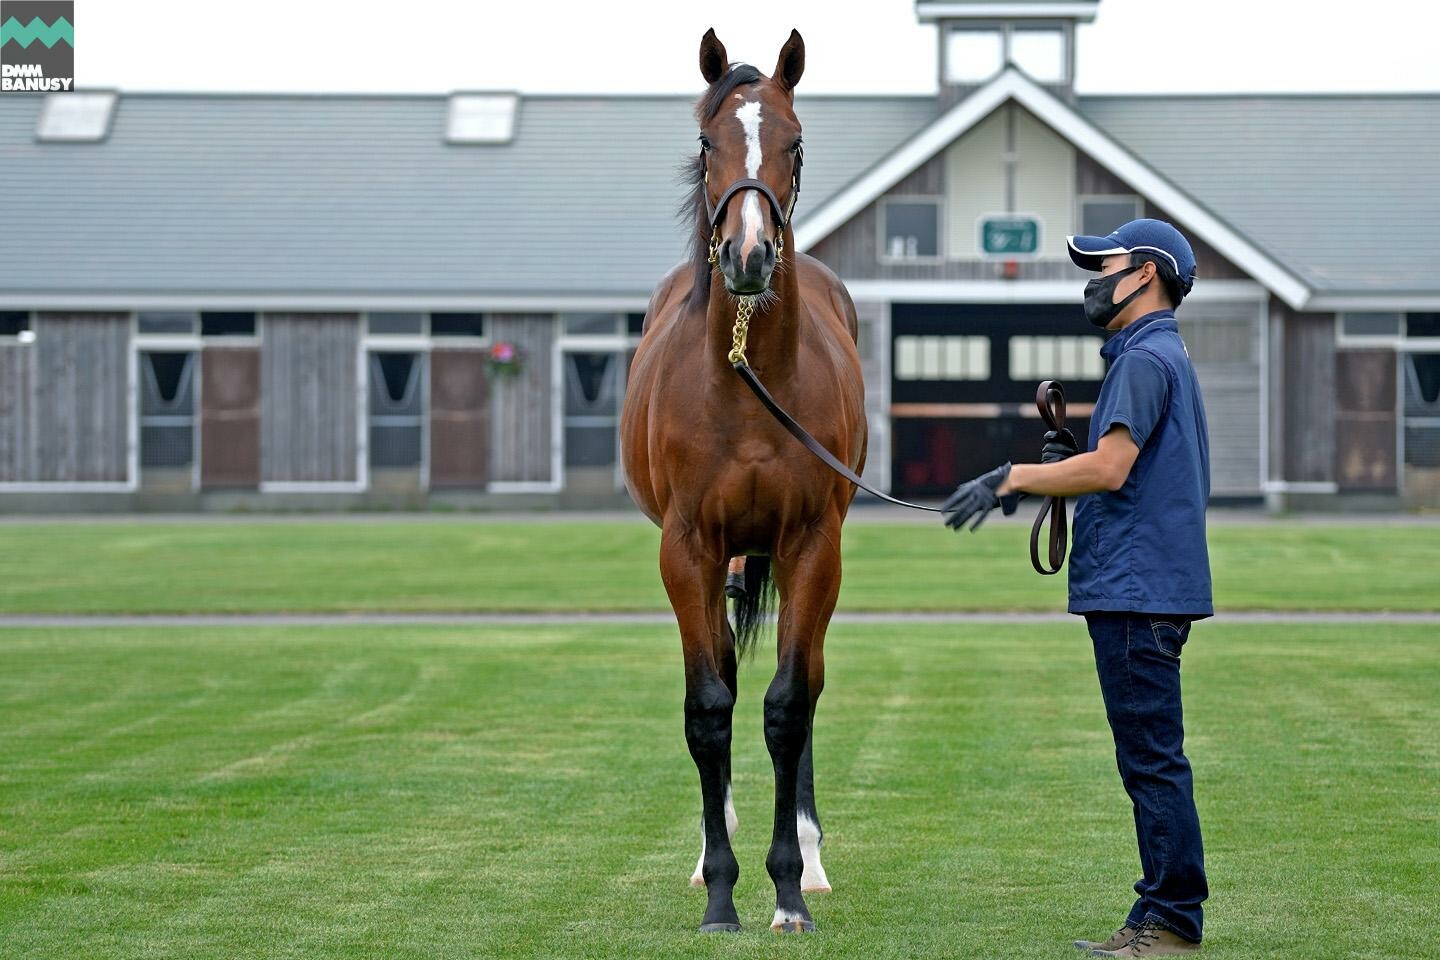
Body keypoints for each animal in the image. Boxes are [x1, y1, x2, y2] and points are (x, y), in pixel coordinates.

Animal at [619, 28, 864, 932]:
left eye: (794, 143)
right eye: (705, 143)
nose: (750, 257)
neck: (749, 381)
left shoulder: (812, 547)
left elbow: (790, 705)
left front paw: (788, 888)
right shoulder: (688, 549)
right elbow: (708, 709)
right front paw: (722, 889)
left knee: (809, 685)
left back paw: (813, 858)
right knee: (722, 673)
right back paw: (706, 852)